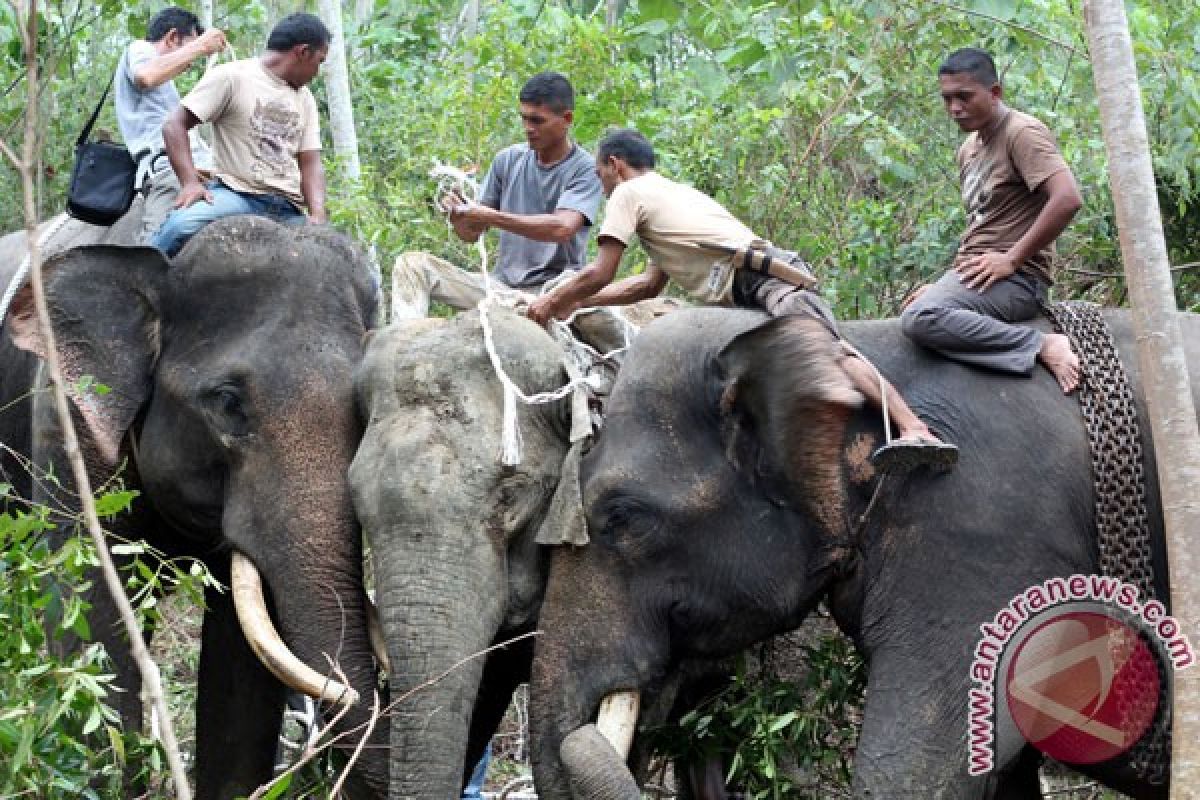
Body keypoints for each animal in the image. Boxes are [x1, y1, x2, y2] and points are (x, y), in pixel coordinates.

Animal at [0, 215, 386, 796]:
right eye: (227, 403)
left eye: (366, 410)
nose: (355, 691)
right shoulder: (69, 423)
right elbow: (91, 619)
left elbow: (242, 665)